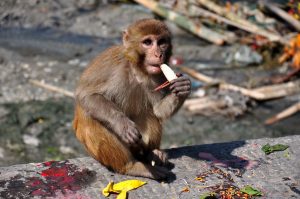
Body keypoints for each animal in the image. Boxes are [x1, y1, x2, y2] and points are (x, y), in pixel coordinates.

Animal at [72, 19, 190, 180]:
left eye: (161, 42)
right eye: (147, 42)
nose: (159, 54)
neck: (137, 69)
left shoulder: (159, 74)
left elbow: (158, 111)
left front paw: (182, 87)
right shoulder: (112, 64)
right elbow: (87, 95)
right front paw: (123, 125)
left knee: (149, 114)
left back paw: (151, 153)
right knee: (91, 116)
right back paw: (131, 166)